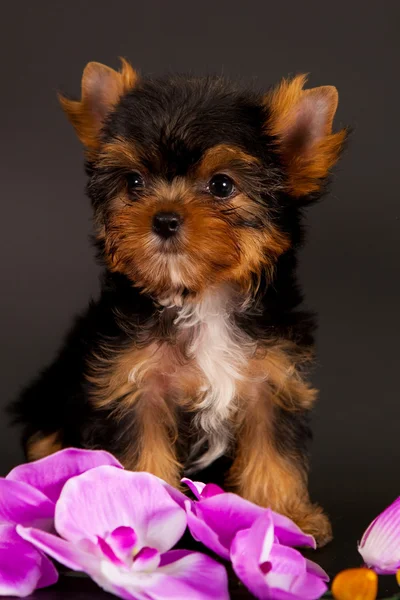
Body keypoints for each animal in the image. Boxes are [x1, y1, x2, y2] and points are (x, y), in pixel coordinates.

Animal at [10, 58, 346, 548]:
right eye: (133, 182)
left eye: (222, 185)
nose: (164, 218)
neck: (199, 295)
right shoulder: (131, 383)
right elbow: (140, 454)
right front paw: (135, 509)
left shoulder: (272, 378)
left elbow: (274, 449)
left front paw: (286, 516)